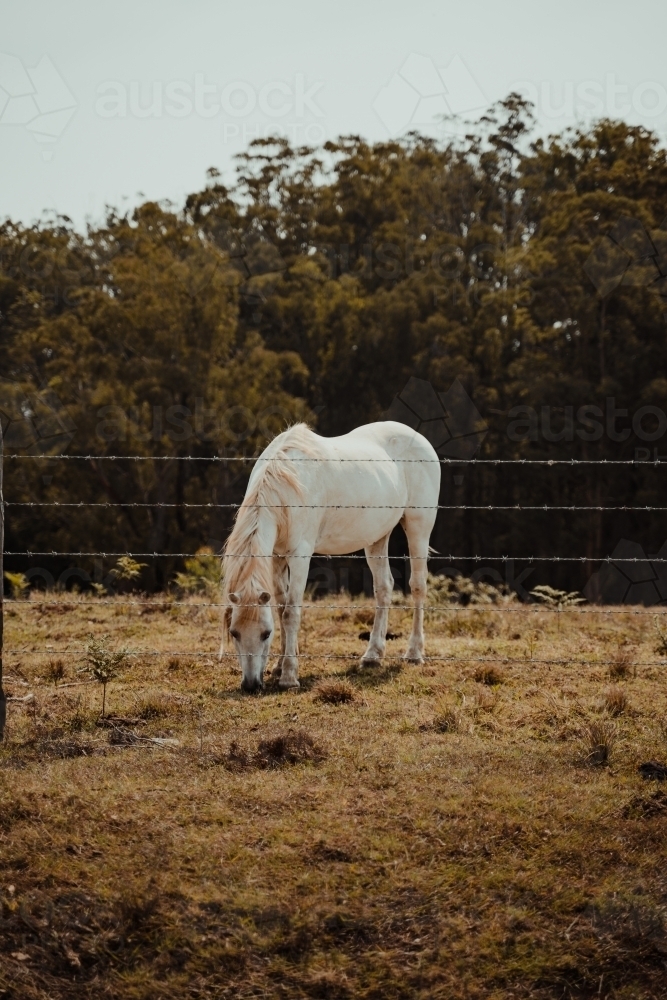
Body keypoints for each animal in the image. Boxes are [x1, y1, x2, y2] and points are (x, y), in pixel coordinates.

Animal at [222, 418, 440, 692]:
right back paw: (372, 655)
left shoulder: (300, 556)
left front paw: (289, 677)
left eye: (265, 634)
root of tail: (418, 438)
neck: (285, 484)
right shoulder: (276, 557)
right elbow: (281, 609)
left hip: (418, 527)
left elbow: (291, 613)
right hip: (377, 537)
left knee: (418, 586)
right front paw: (279, 666)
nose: (251, 684)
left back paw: (414, 653)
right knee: (384, 587)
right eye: (234, 633)